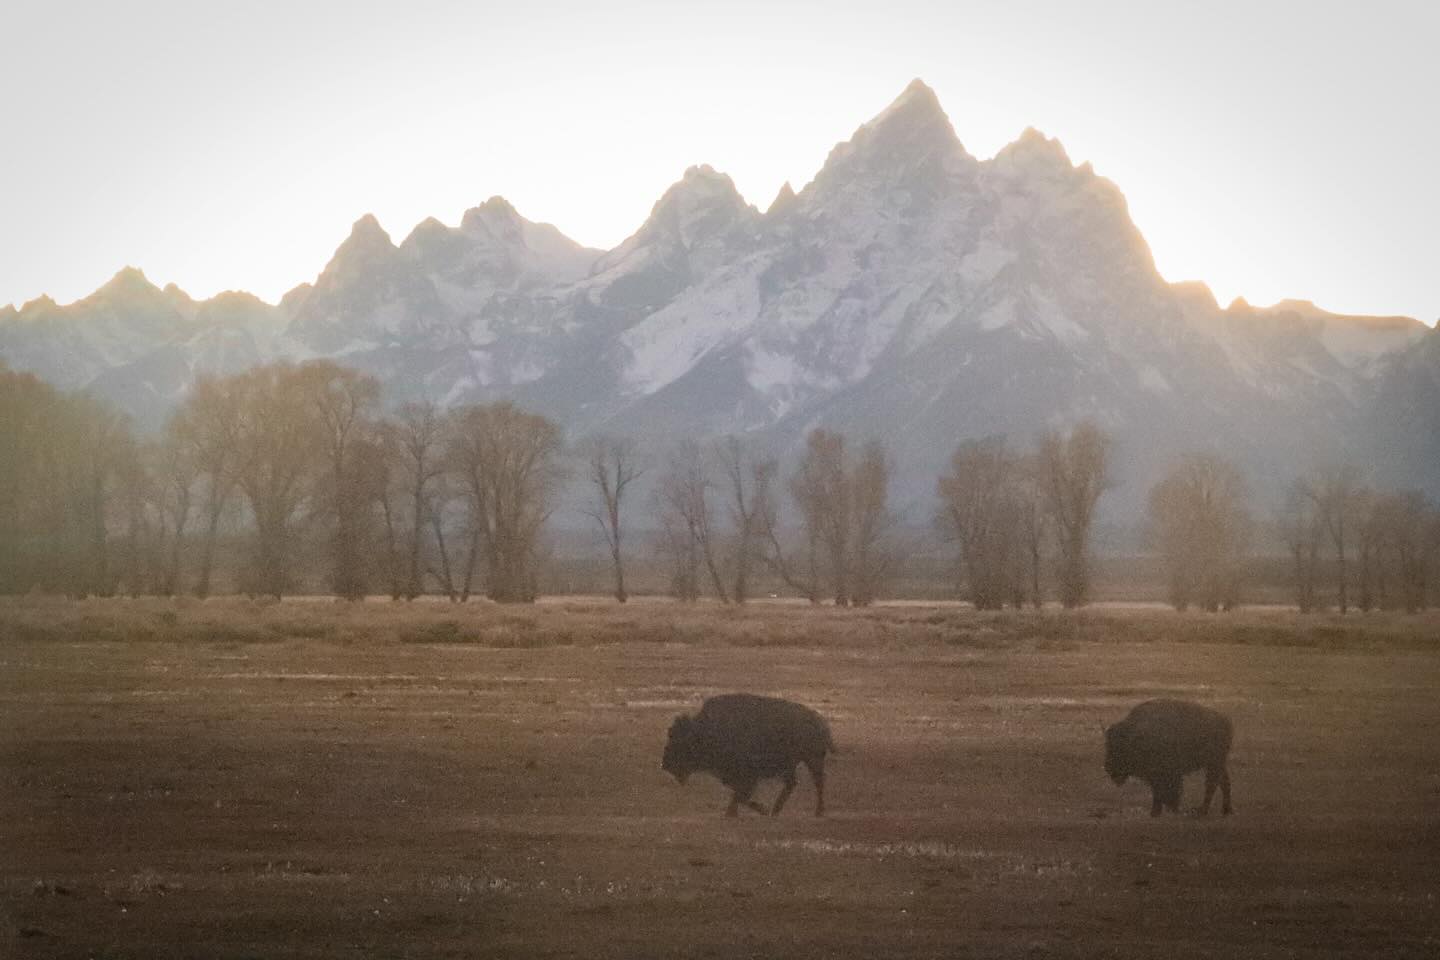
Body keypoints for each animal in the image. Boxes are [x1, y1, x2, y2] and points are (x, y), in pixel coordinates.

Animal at [662, 693, 835, 817]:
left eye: (679, 742)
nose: (664, 764)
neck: (704, 731)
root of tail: (820, 722)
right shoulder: (734, 776)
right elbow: (740, 794)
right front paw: (750, 810)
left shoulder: (747, 775)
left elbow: (741, 794)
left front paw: (736, 812)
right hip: (791, 766)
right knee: (792, 783)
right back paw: (775, 811)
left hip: (812, 760)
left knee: (818, 783)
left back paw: (817, 812)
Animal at [1104, 698, 1234, 817]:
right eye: (1108, 745)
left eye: (1120, 748)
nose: (1109, 768)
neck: (1136, 737)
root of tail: (1225, 721)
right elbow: (1160, 791)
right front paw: (1160, 811)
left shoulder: (1164, 773)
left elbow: (1164, 790)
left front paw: (1158, 812)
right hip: (1217, 763)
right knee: (1223, 783)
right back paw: (1225, 810)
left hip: (1214, 763)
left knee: (1212, 784)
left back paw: (1203, 811)